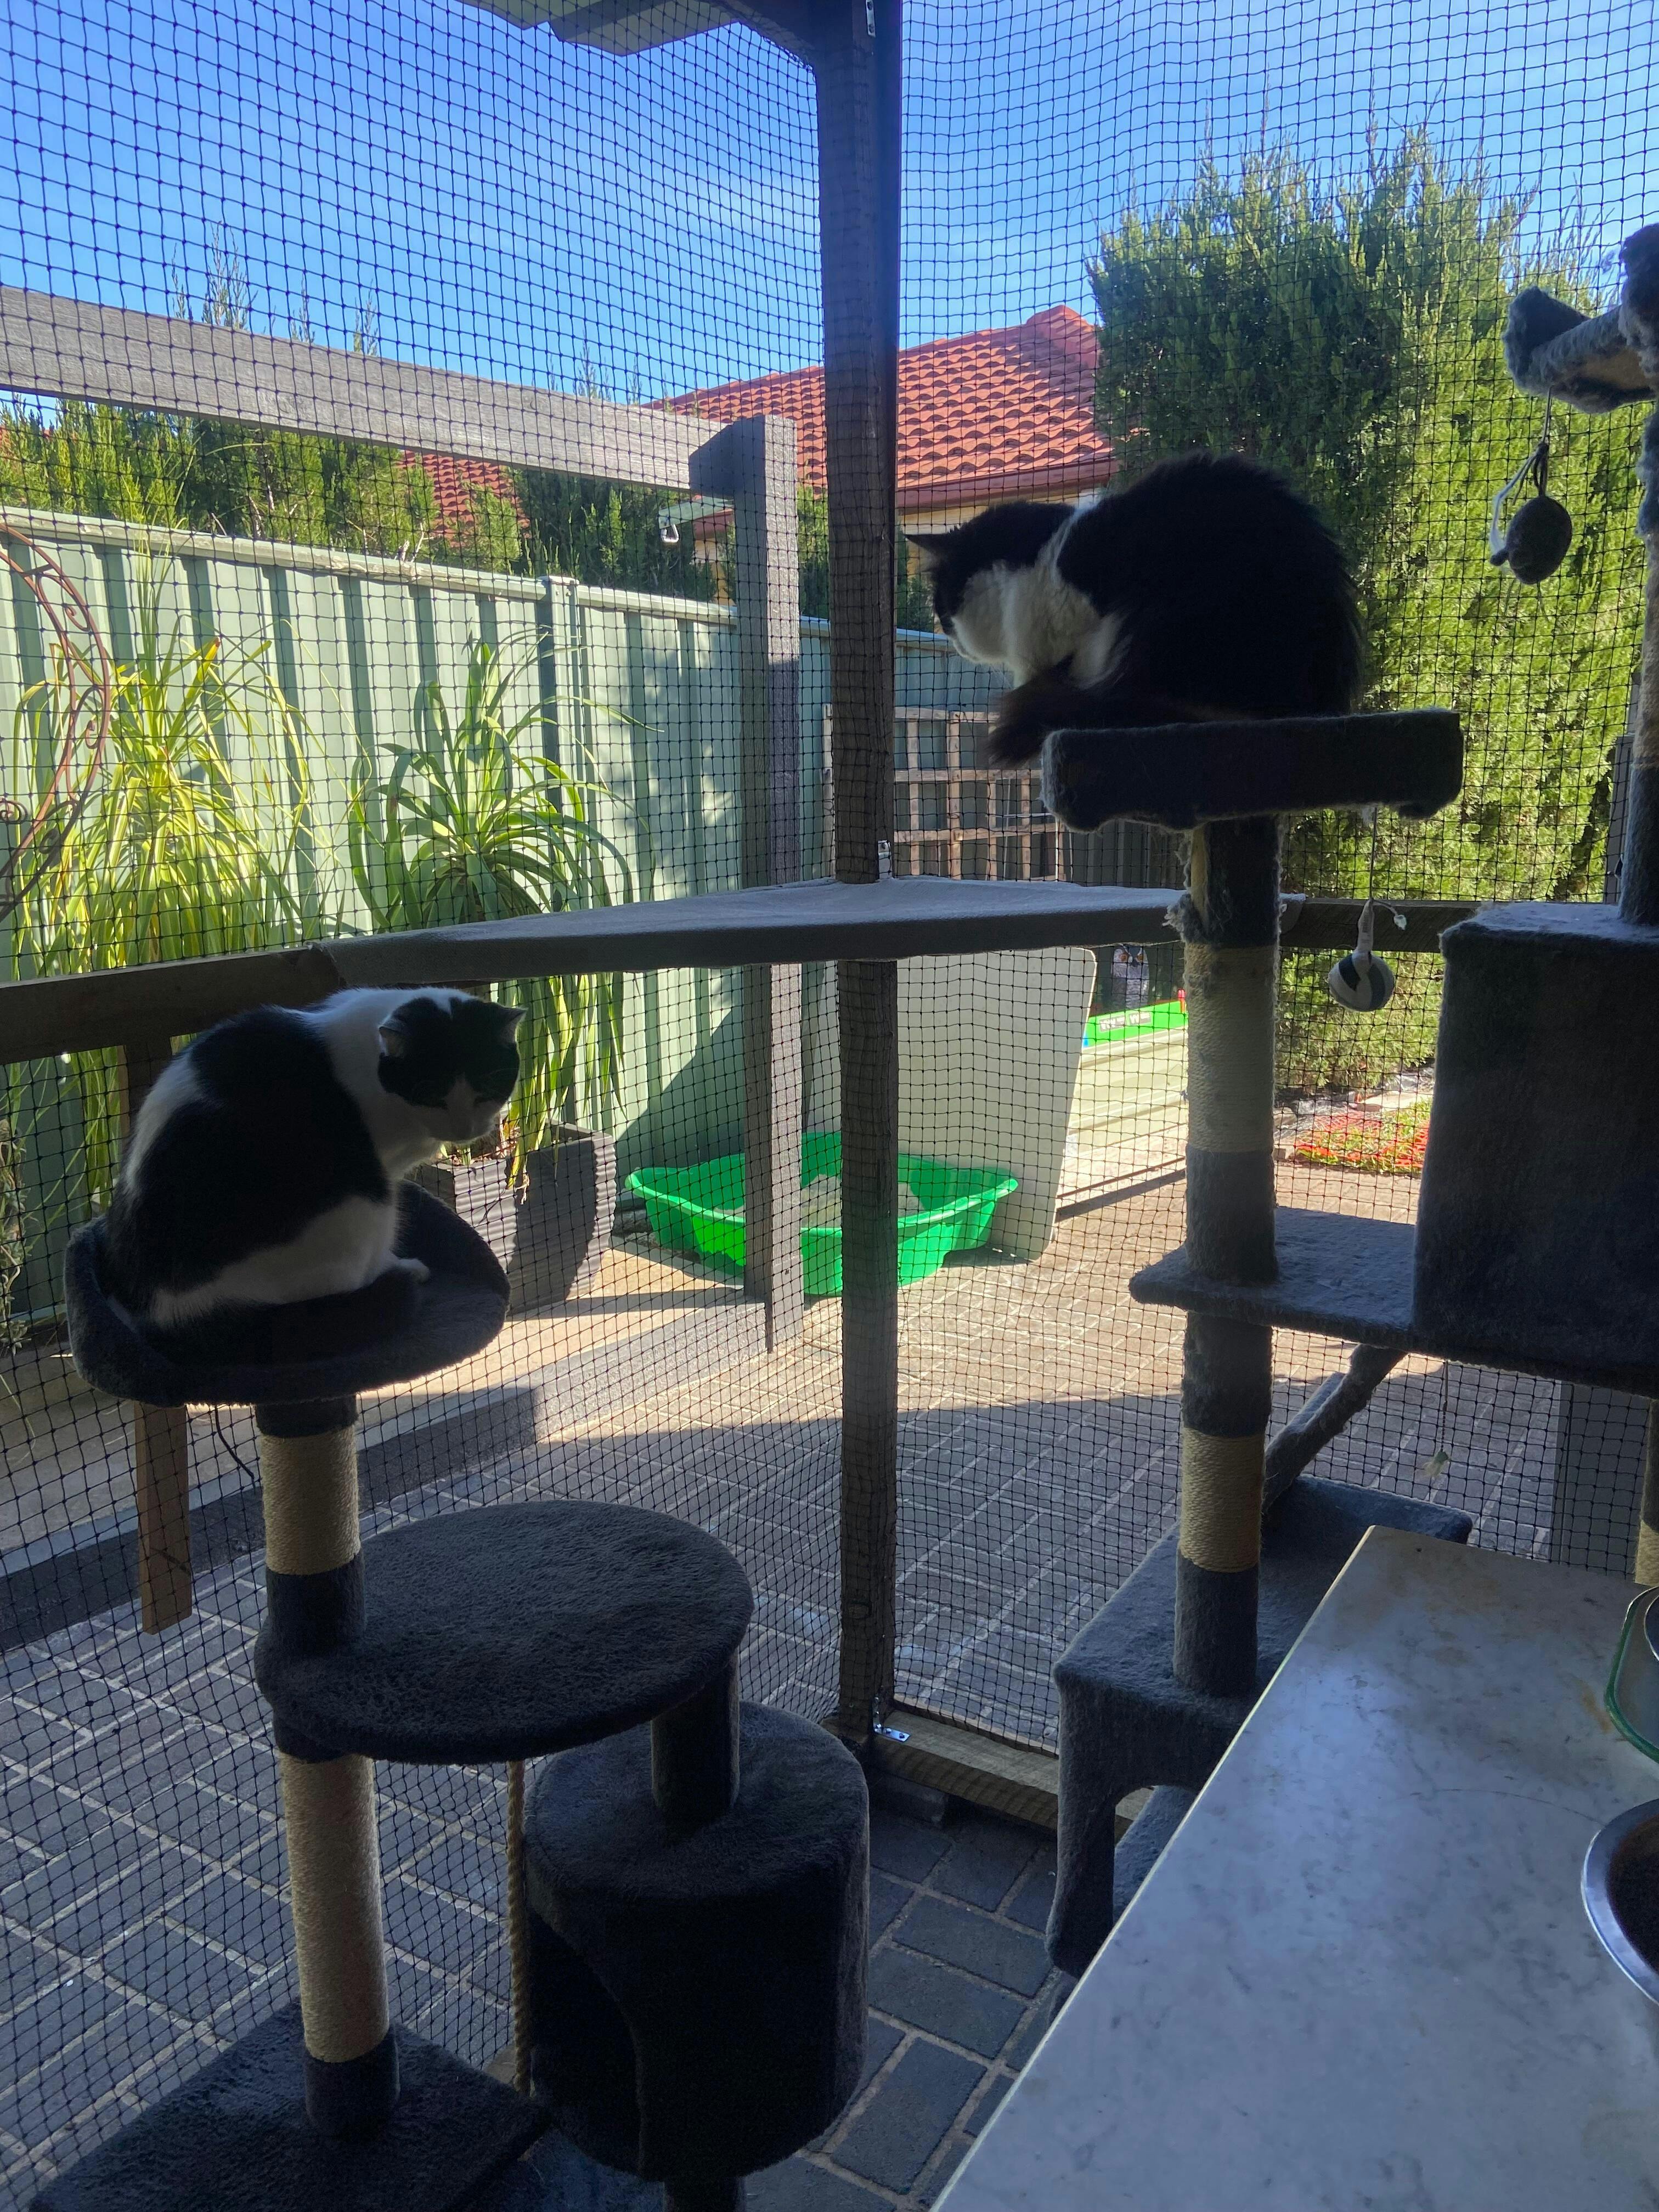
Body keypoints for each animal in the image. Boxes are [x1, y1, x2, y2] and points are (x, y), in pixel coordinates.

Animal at [103, 988, 522, 1332]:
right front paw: (400, 1264)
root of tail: (171, 1309)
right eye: (431, 1093)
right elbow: (377, 1254)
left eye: (488, 1086)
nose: (464, 1127)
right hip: (360, 1203)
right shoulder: (382, 1172)